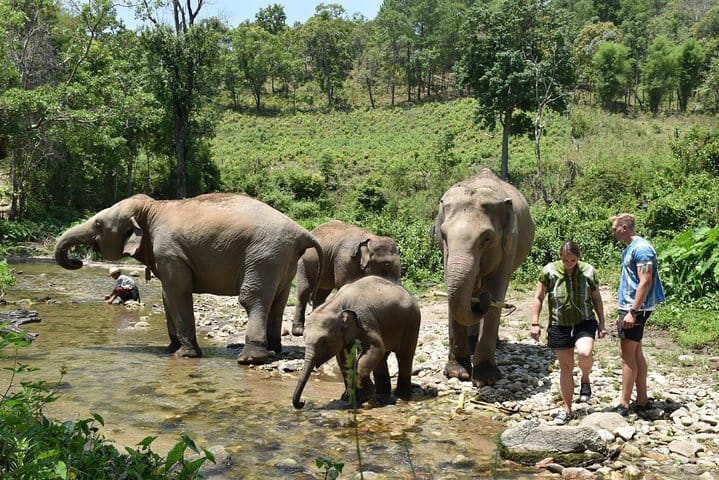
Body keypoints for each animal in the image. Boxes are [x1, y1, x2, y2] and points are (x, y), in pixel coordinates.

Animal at [54, 193, 323, 364]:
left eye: (98, 224)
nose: (77, 261)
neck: (151, 208)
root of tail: (301, 231)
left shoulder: (171, 252)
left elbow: (177, 292)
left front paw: (184, 355)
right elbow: (166, 296)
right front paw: (169, 350)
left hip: (264, 256)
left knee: (252, 298)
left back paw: (249, 359)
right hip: (283, 261)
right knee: (278, 300)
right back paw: (275, 350)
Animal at [292, 275, 421, 409]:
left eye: (324, 341)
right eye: (304, 338)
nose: (302, 403)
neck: (337, 303)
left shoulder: (365, 319)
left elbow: (375, 347)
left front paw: (364, 395)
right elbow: (344, 358)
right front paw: (349, 397)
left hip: (412, 322)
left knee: (404, 355)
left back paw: (402, 395)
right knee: (382, 358)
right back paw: (382, 394)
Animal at [433, 168, 534, 387]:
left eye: (487, 238)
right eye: (443, 235)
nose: (483, 301)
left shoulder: (509, 243)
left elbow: (497, 289)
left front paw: (486, 378)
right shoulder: (446, 252)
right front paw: (457, 373)